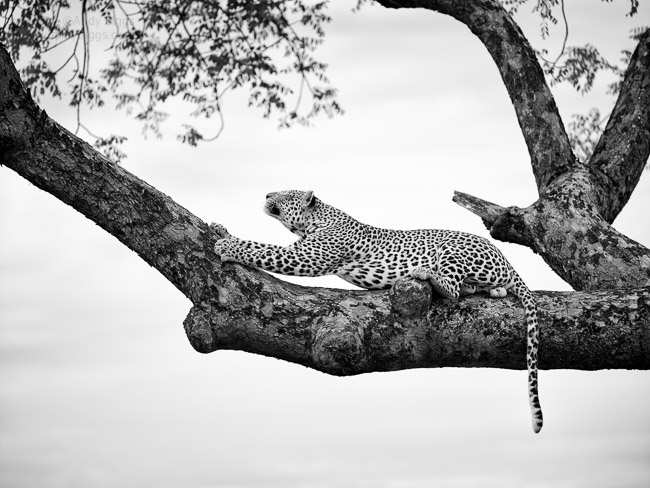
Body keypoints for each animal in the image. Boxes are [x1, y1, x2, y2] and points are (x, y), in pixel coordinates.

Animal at [214, 189, 540, 432]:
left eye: (287, 193)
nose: (268, 194)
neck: (315, 220)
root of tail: (506, 259)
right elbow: (260, 245)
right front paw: (221, 229)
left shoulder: (306, 257)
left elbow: (262, 249)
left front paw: (228, 246)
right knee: (479, 289)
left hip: (453, 250)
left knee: (454, 289)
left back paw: (426, 274)